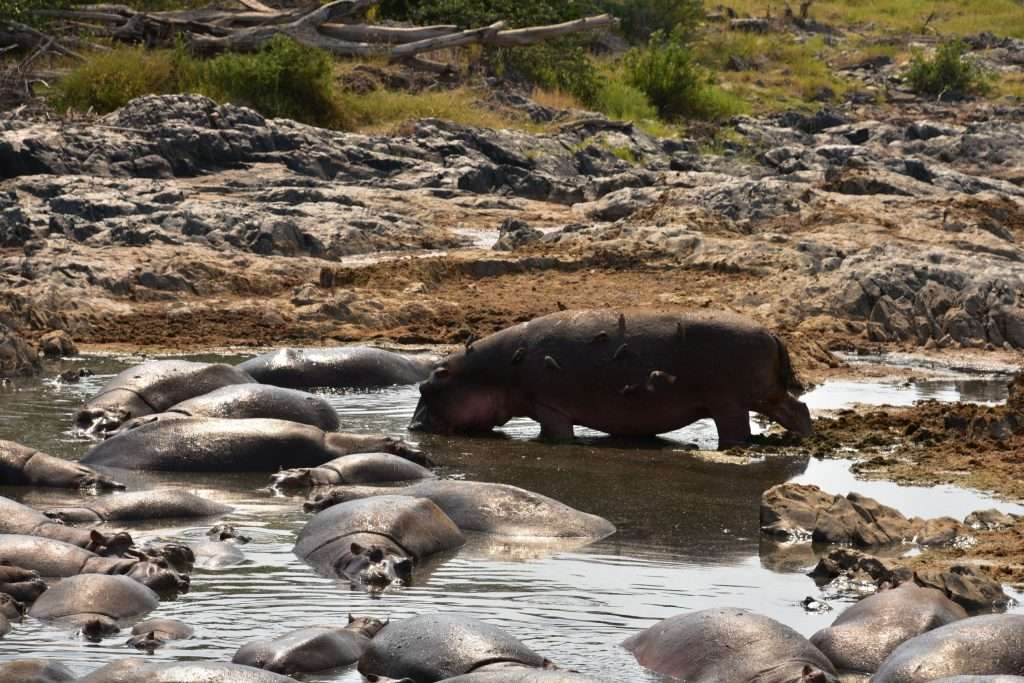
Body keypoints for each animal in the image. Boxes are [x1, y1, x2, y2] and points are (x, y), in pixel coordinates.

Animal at [410, 309, 811, 447]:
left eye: (427, 386)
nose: (412, 428)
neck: (490, 371)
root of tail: (773, 333)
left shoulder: (549, 406)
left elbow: (556, 434)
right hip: (766, 396)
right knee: (799, 409)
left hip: (730, 403)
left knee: (737, 432)